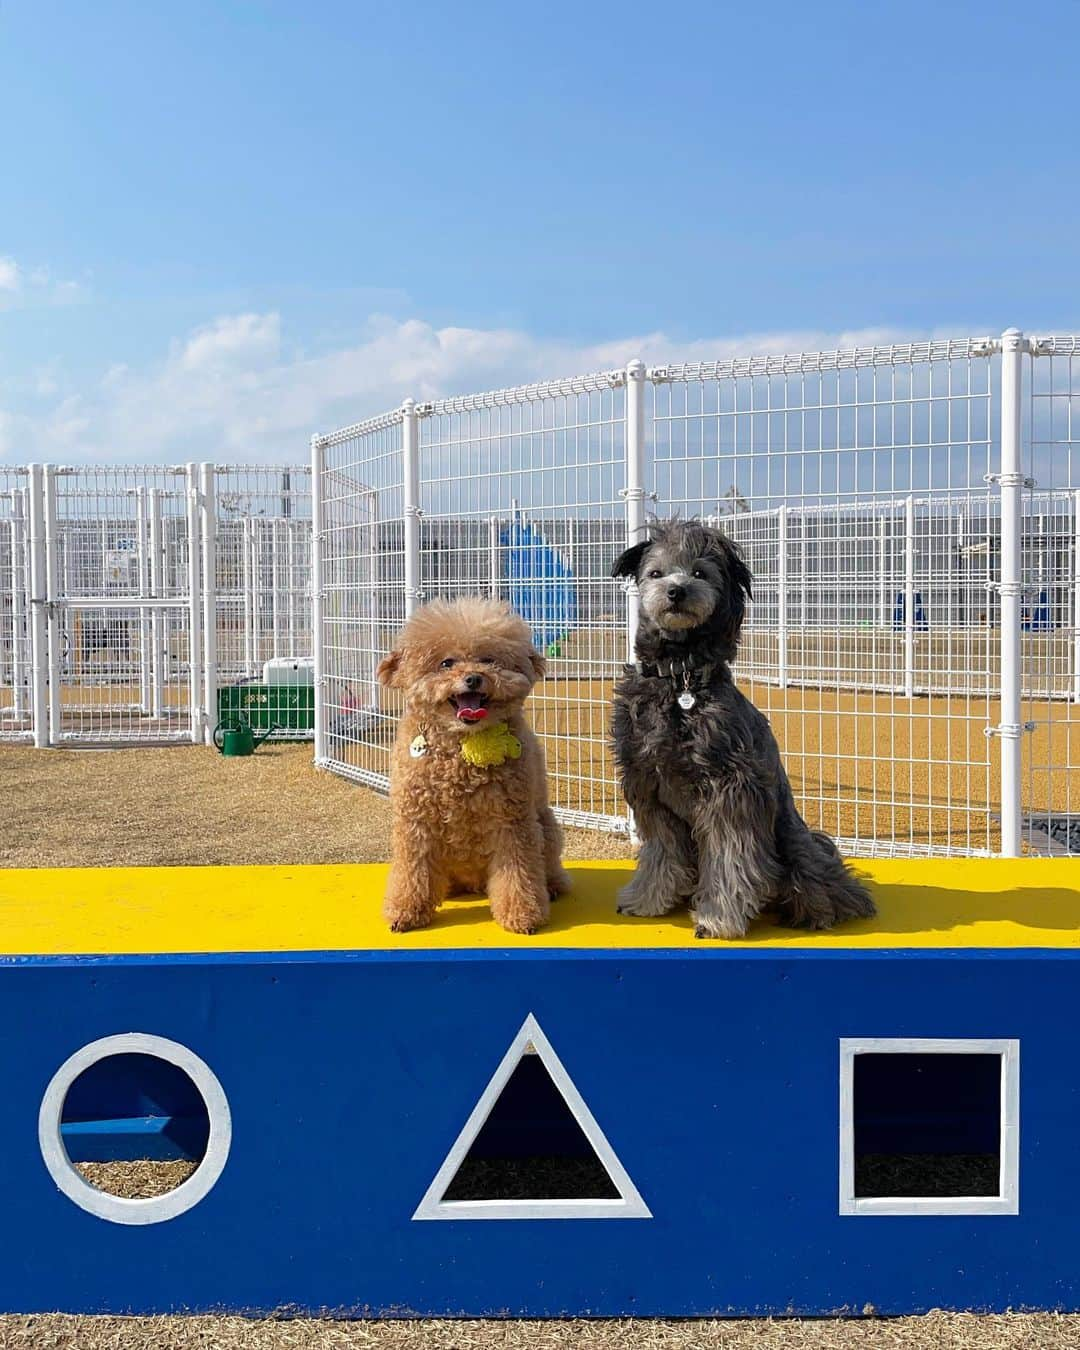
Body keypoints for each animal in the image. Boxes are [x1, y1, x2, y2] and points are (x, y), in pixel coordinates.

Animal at [612, 515, 874, 939]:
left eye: (700, 572)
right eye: (655, 573)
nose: (676, 591)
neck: (680, 679)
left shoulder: (731, 791)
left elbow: (731, 860)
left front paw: (717, 918)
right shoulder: (649, 786)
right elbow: (661, 853)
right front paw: (647, 900)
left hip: (796, 847)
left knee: (820, 885)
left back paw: (818, 910)